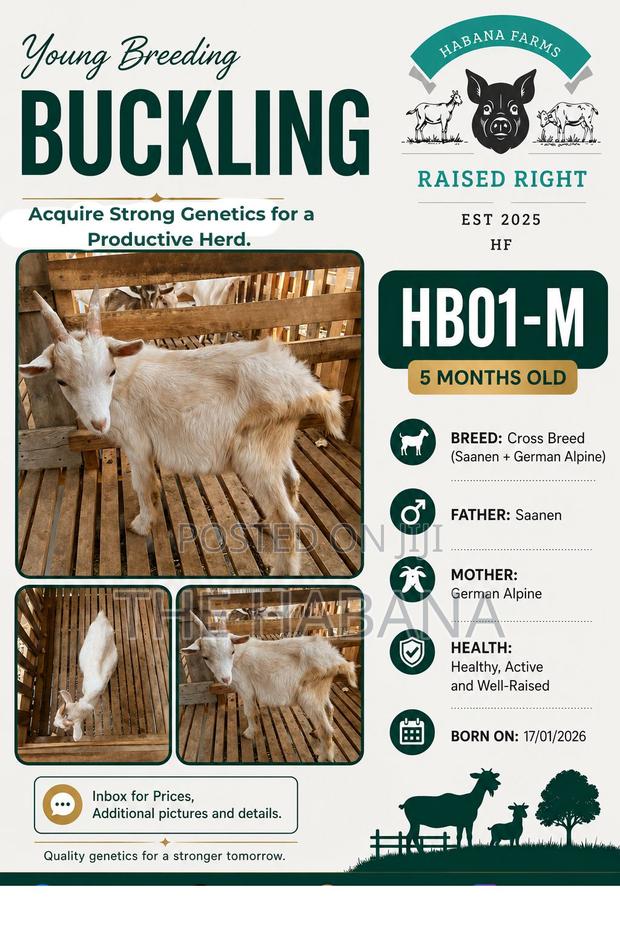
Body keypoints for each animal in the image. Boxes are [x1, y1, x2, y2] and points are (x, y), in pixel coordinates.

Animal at [20, 291, 344, 575]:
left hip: (256, 455)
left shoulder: (137, 443)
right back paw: (265, 523)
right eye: (62, 381)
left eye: (109, 372)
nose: (98, 422)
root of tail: (305, 384)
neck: (124, 379)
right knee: (292, 480)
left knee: (288, 520)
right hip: (277, 443)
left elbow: (143, 484)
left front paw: (142, 524)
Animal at [181, 612, 357, 761]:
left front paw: (249, 733)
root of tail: (336, 658)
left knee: (326, 730)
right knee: (330, 709)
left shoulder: (246, 688)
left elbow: (249, 712)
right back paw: (315, 732)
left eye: (231, 651)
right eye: (205, 657)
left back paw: (324, 756)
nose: (225, 678)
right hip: (322, 689)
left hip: (310, 695)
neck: (238, 656)